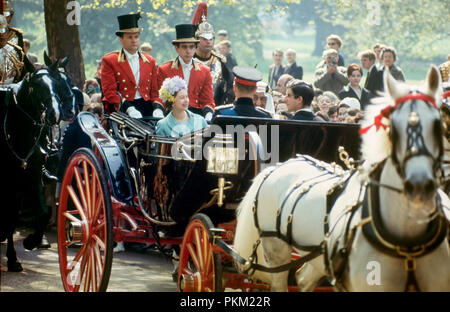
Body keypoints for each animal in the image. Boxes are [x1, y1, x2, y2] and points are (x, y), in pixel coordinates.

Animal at [0, 57, 76, 272]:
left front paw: (30, 242)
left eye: (56, 83)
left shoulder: (32, 176)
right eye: (36, 86)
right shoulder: (9, 181)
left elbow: (42, 212)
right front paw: (13, 255)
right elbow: (10, 216)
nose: (58, 112)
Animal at [234, 66, 448, 292]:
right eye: (393, 129)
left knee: (300, 279)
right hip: (277, 247)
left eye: (438, 125)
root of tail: (278, 166)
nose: (419, 185)